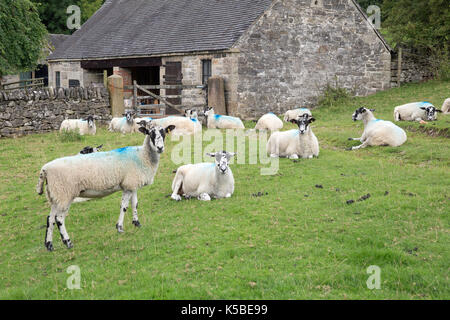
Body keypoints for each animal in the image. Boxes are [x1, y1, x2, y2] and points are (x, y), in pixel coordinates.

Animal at [36, 119, 176, 250]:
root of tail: (45, 169)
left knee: (50, 219)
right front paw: (119, 227)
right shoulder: (128, 186)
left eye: (164, 133)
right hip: (65, 194)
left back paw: (49, 245)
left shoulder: (132, 184)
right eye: (150, 134)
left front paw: (137, 223)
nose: (160, 148)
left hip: (55, 196)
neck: (142, 155)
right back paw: (67, 242)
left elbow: (134, 204)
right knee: (59, 219)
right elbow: (124, 206)